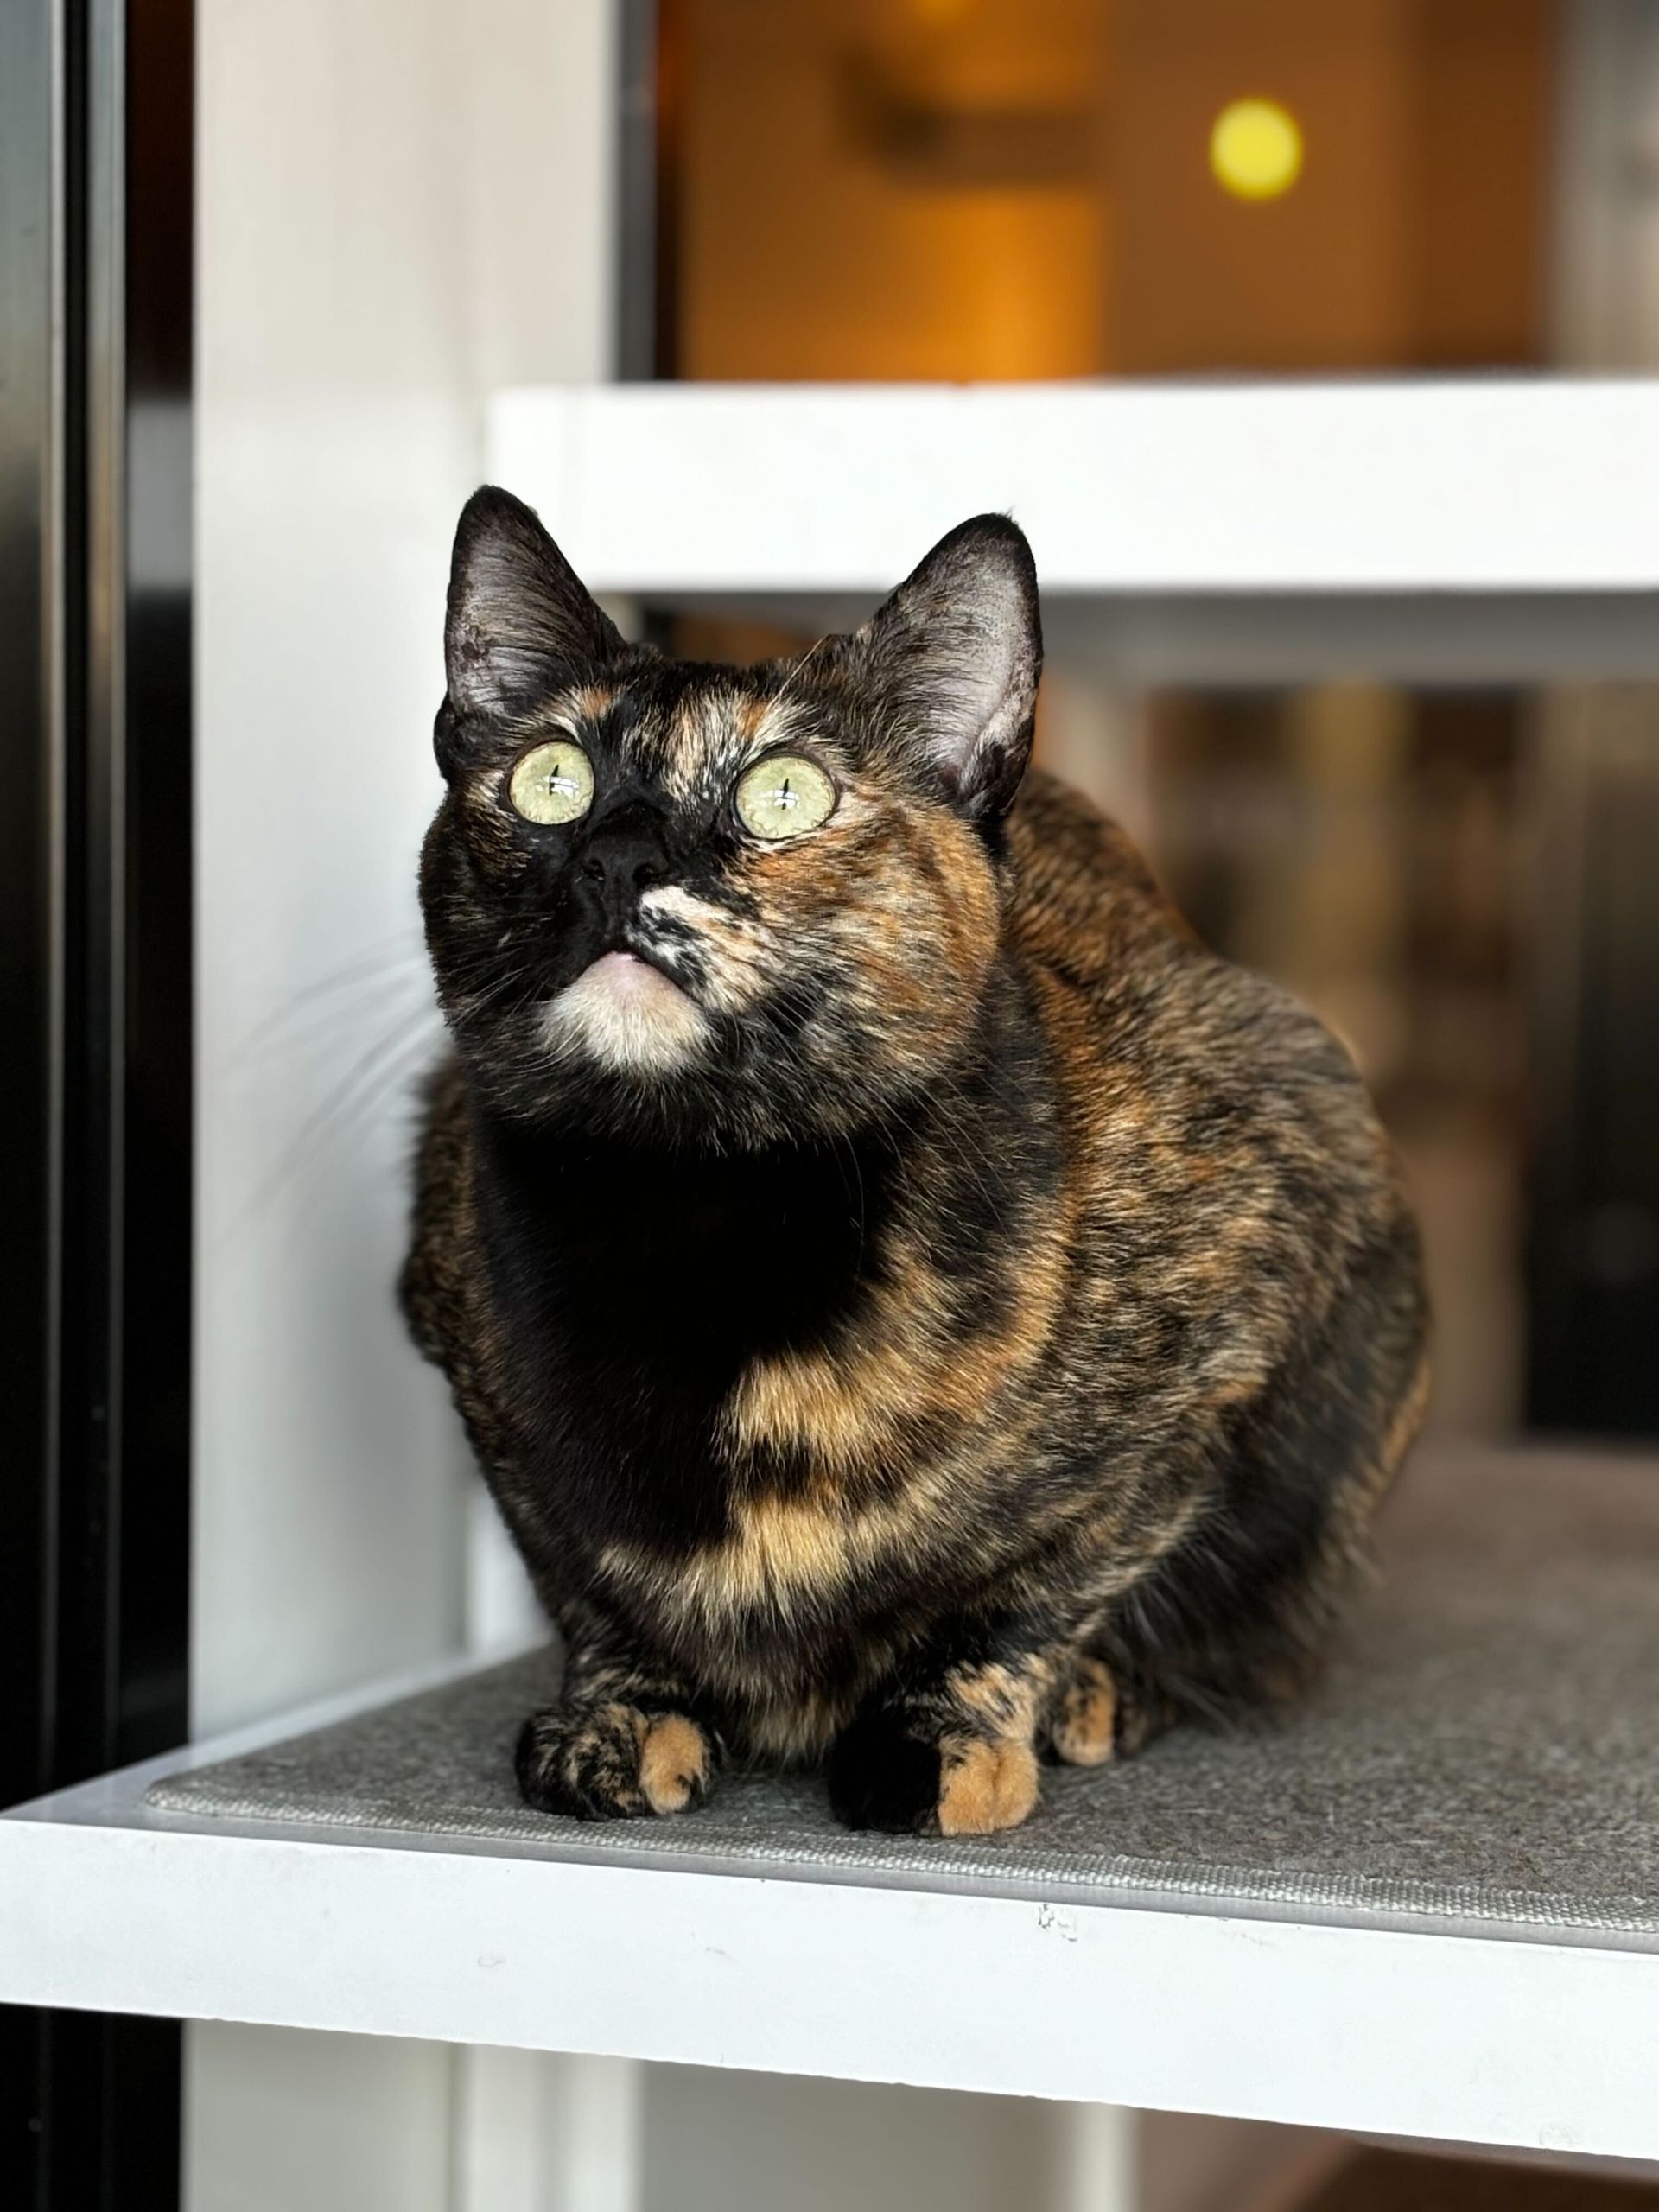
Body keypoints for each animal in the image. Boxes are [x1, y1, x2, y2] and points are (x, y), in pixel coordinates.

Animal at [402, 493, 1433, 1840]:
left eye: (785, 793)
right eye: (552, 780)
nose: (615, 860)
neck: (696, 1226)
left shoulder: (1253, 1267)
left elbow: (1044, 1579)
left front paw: (943, 1732)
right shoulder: (468, 1351)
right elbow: (581, 1576)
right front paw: (618, 1713)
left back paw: (1107, 1692)